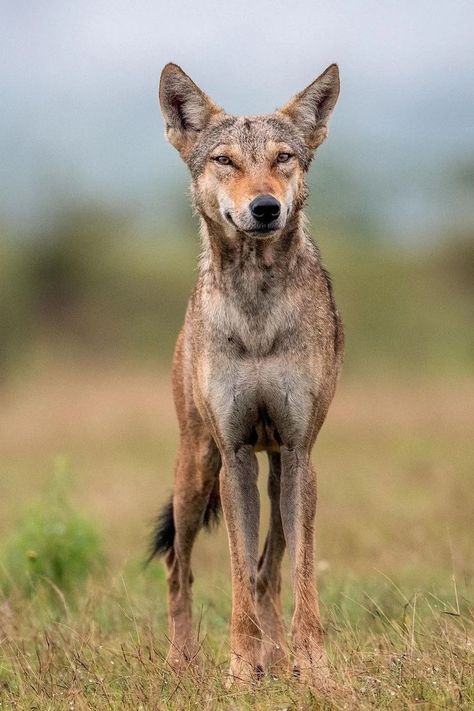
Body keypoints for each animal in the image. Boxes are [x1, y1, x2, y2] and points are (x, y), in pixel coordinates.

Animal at [152, 62, 344, 688]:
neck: (257, 308)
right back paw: (183, 663)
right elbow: (234, 577)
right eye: (225, 160)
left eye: (283, 158)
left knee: (269, 572)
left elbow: (298, 578)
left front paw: (315, 671)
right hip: (196, 469)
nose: (264, 208)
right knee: (178, 565)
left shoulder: (300, 451)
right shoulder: (234, 454)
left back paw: (278, 662)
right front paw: (237, 671)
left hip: (279, 469)